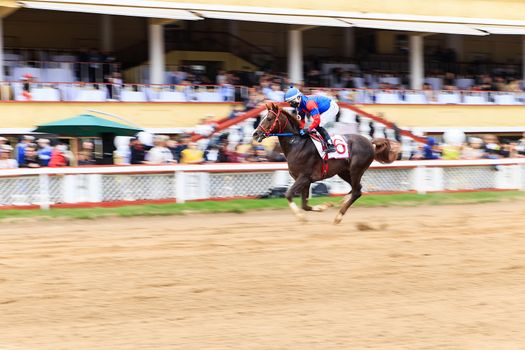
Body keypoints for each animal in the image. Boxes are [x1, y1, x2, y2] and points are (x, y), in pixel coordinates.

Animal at [253, 102, 398, 226]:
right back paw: (343, 201)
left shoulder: (304, 177)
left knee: (357, 191)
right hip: (344, 171)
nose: (255, 133)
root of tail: (370, 142)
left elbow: (288, 194)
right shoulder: (305, 180)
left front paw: (300, 216)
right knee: (357, 188)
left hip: (356, 169)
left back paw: (339, 216)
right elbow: (305, 205)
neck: (297, 144)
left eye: (269, 118)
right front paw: (323, 207)